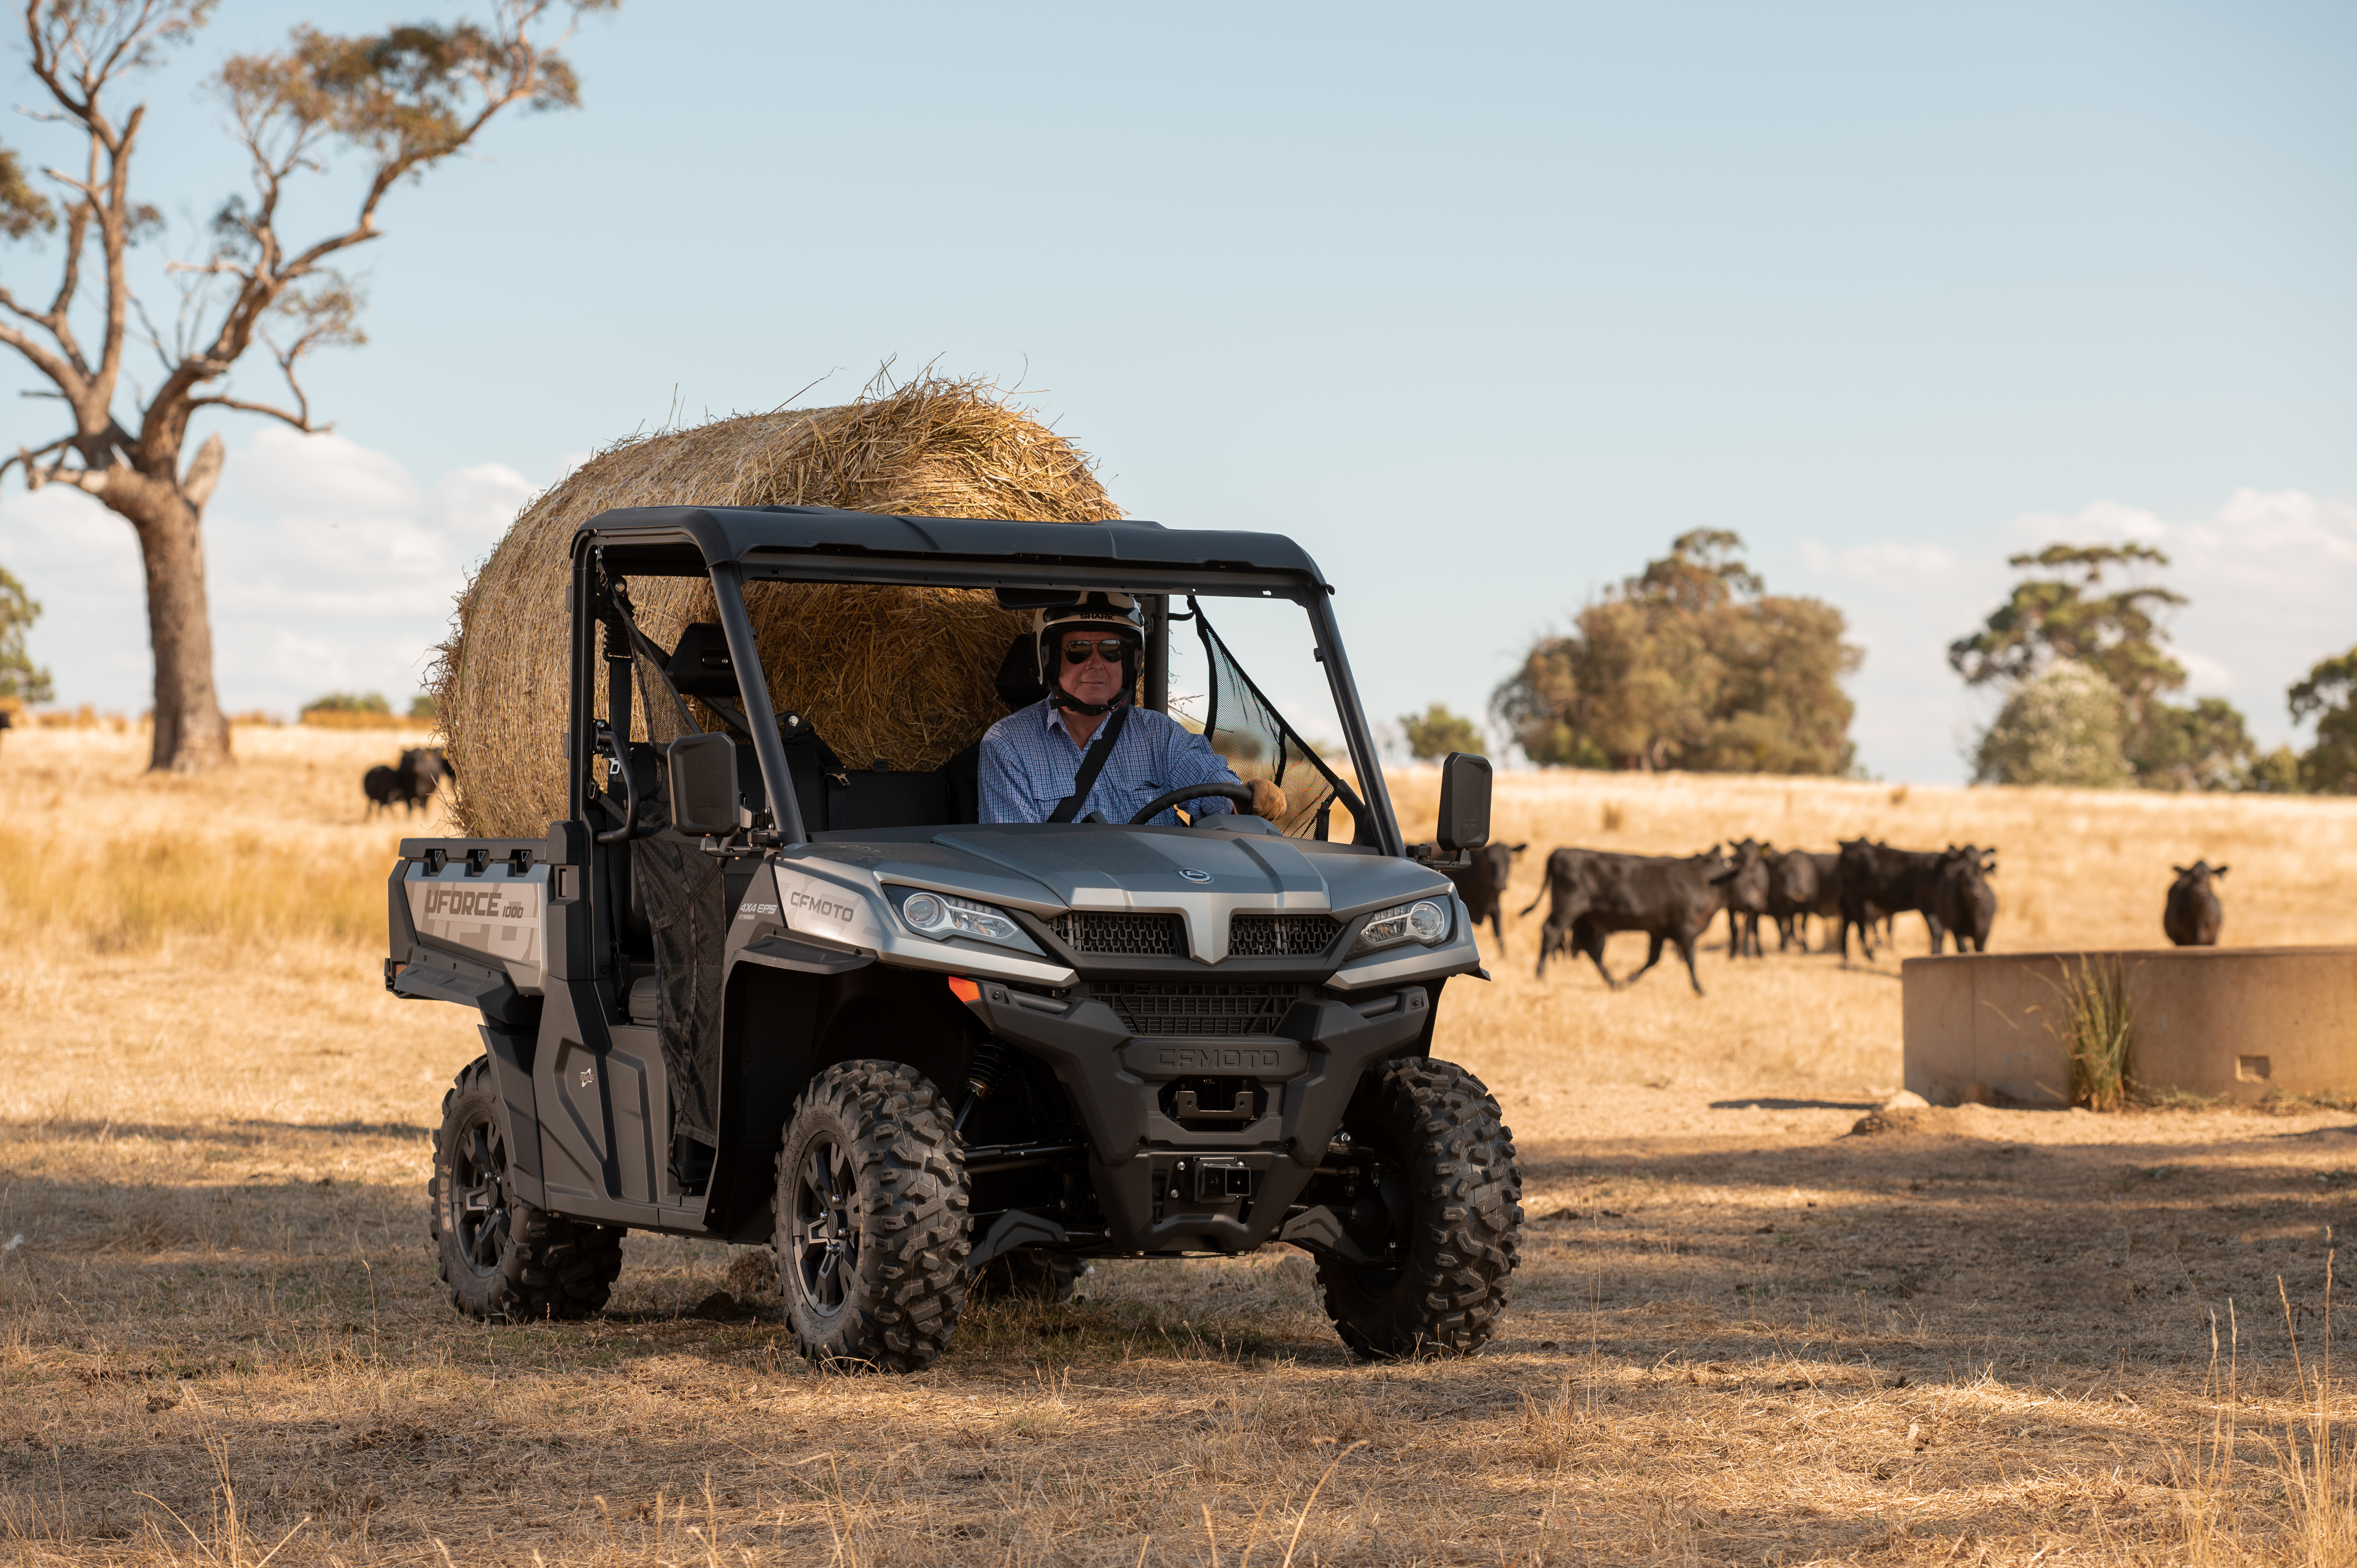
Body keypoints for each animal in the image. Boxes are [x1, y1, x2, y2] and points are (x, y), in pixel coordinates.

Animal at [1508, 844, 1735, 990]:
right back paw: (1541, 976)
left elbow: (1654, 959)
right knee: (1552, 932)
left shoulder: (1658, 931)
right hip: (1568, 910)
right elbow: (1690, 959)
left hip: (1583, 918)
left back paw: (1614, 982)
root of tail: (1560, 852)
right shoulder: (1685, 930)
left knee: (1590, 949)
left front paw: (1630, 978)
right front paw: (1699, 988)